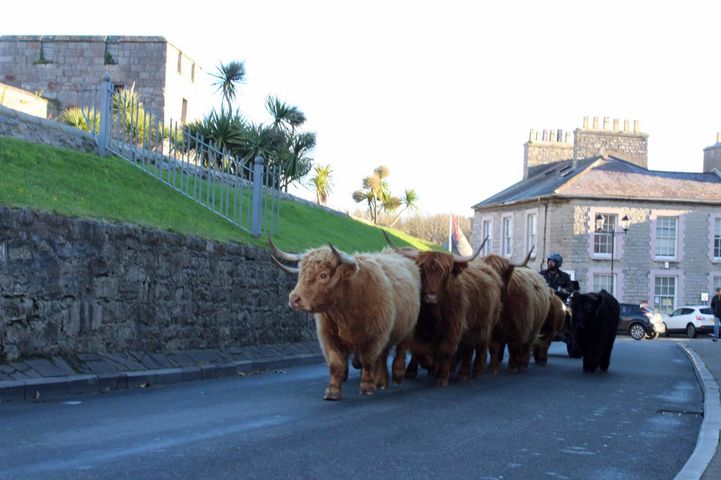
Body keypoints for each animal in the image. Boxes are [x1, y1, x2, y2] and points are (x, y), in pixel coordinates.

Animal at [269, 239, 421, 400]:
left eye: (323, 275)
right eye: (301, 273)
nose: (294, 299)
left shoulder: (374, 336)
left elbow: (368, 360)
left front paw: (367, 387)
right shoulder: (329, 337)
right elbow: (336, 363)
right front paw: (333, 391)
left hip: (408, 329)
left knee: (399, 351)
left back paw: (397, 376)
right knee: (384, 355)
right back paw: (381, 381)